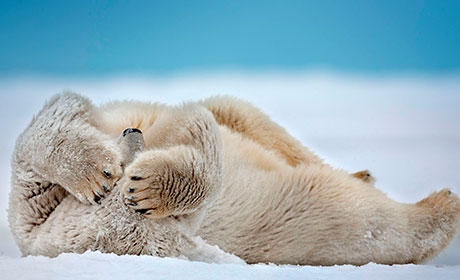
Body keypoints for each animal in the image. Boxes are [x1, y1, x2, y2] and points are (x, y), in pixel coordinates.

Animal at [7, 93, 460, 264]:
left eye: (129, 158)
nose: (133, 133)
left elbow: (60, 114)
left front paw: (108, 174)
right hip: (302, 218)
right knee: (360, 218)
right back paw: (441, 205)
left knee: (249, 118)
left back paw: (364, 173)